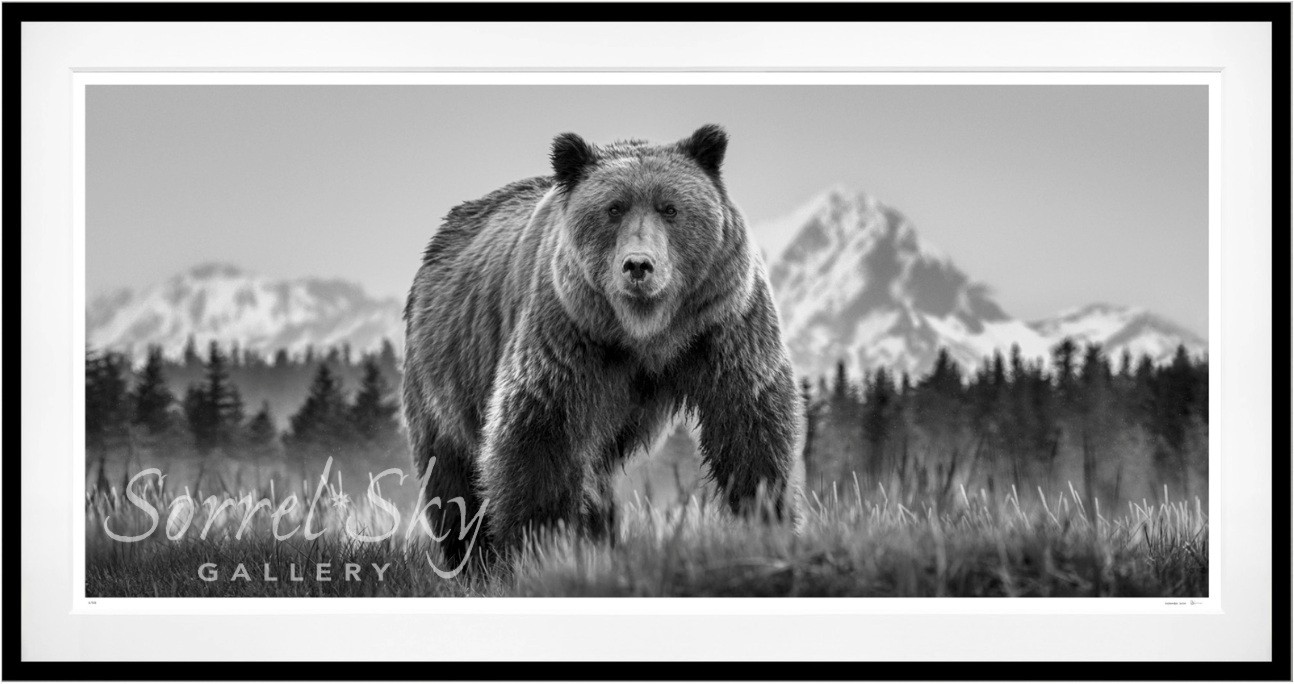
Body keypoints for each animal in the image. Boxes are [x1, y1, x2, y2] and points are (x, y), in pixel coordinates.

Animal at [402, 124, 804, 571]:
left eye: (670, 208)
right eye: (614, 208)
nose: (638, 265)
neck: (646, 332)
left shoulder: (722, 320)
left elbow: (749, 422)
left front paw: (766, 520)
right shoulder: (569, 329)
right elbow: (538, 432)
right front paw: (540, 545)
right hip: (444, 369)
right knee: (451, 470)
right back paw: (471, 557)